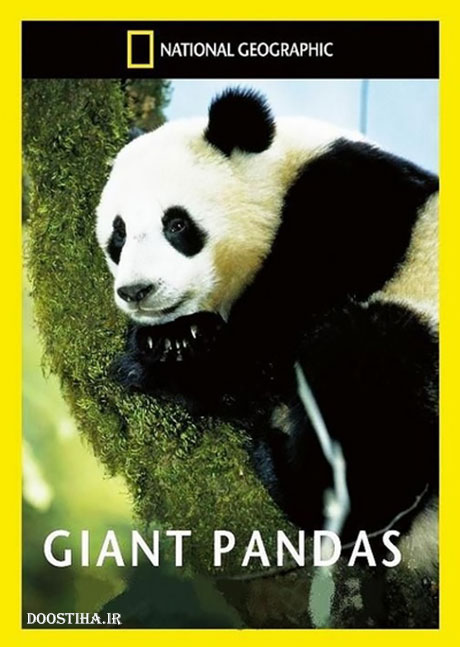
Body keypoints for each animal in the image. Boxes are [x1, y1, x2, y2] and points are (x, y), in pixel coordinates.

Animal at [96, 87, 438, 567]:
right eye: (119, 235)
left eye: (177, 224)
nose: (137, 291)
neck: (278, 178)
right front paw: (172, 339)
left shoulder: (347, 215)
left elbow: (268, 350)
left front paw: (171, 355)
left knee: (368, 363)